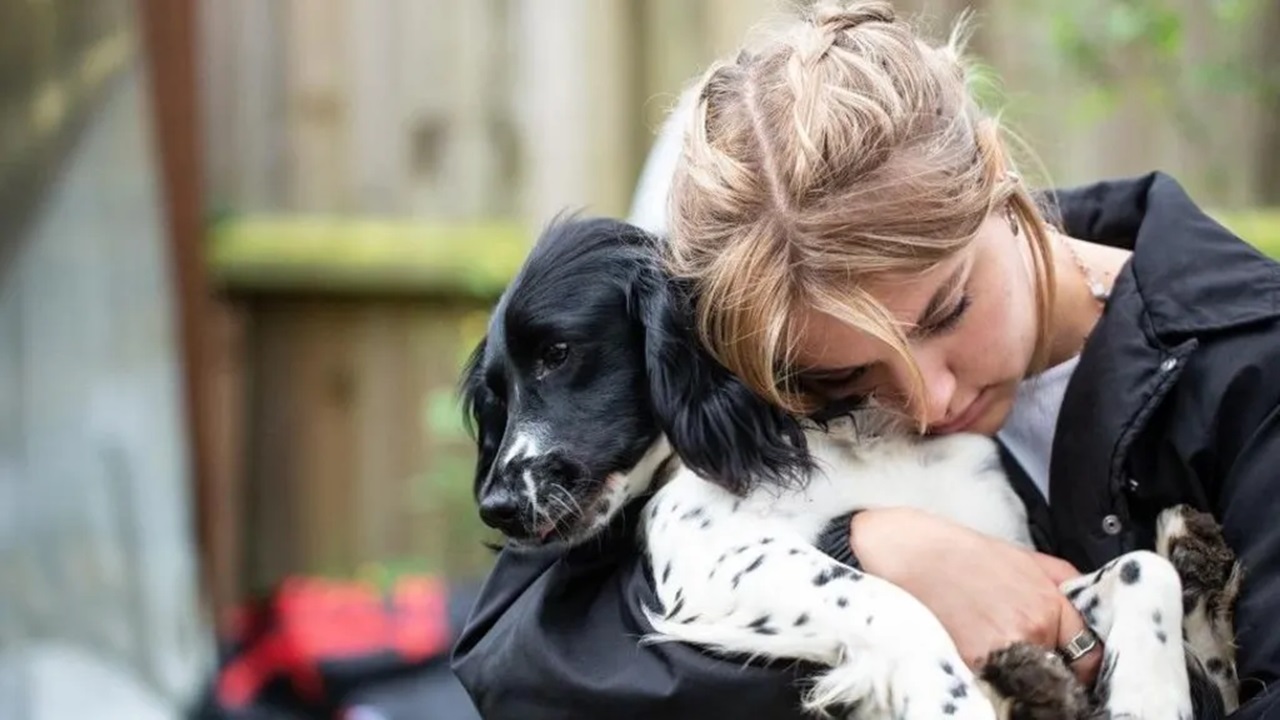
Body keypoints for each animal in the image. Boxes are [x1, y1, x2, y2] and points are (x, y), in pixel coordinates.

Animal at [460, 215, 1239, 717]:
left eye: (558, 354)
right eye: (496, 394)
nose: (497, 508)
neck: (851, 432)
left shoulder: (1018, 557)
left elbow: (1141, 572)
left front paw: (1148, 695)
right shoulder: (712, 556)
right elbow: (891, 599)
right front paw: (952, 698)